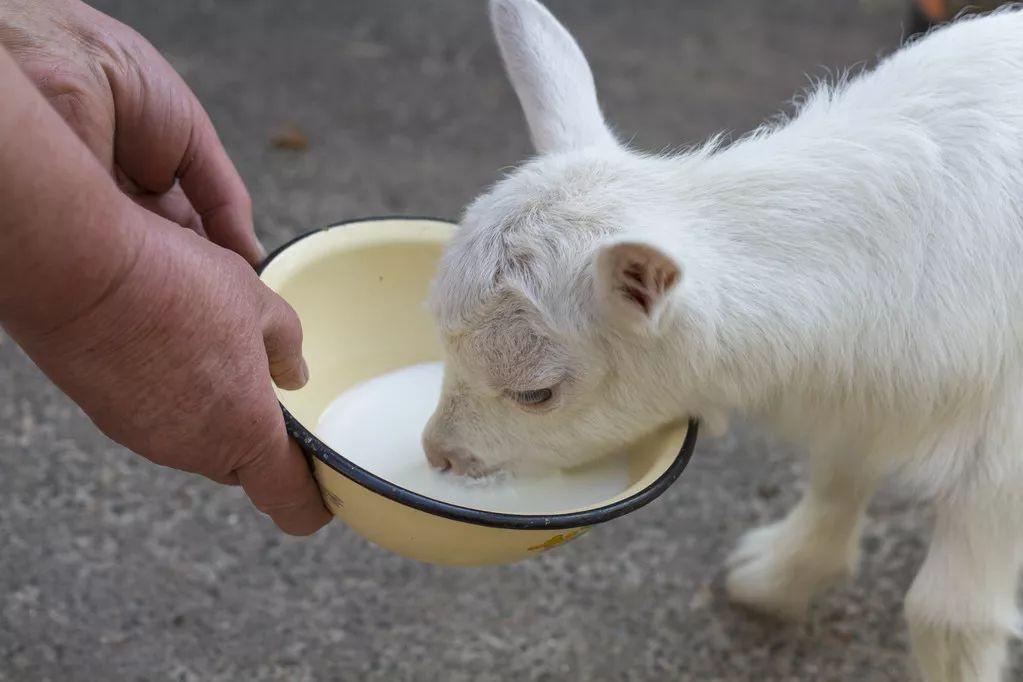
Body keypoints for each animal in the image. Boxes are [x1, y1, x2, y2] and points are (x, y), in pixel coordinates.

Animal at [421, 2, 1023, 678]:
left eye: (535, 394)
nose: (440, 455)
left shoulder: (1001, 454)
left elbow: (949, 615)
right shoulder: (865, 401)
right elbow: (838, 478)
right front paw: (779, 577)